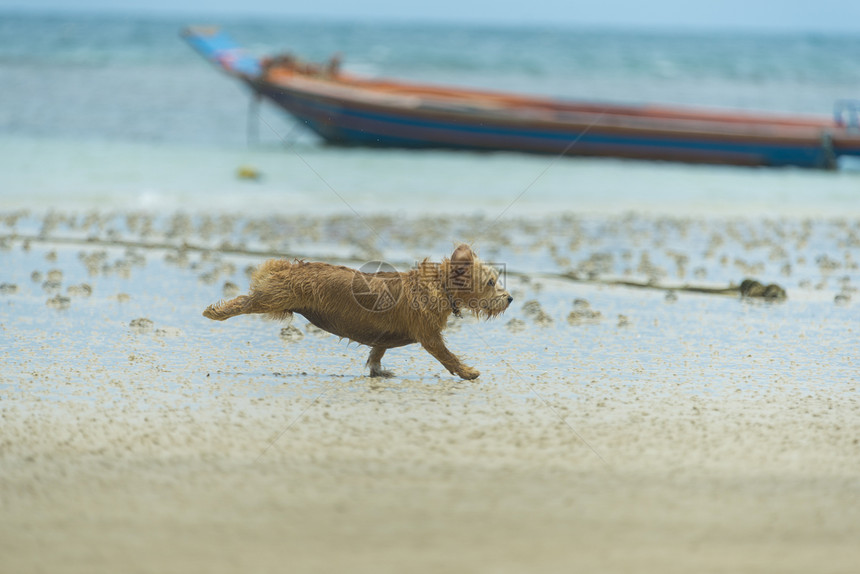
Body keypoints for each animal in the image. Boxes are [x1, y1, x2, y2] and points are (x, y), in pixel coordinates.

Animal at [203, 245, 510, 380]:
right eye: (491, 282)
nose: (510, 298)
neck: (439, 286)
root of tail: (290, 266)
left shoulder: (384, 337)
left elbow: (377, 352)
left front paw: (377, 370)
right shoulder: (429, 335)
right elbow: (448, 356)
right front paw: (467, 371)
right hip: (272, 299)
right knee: (244, 302)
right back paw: (216, 311)